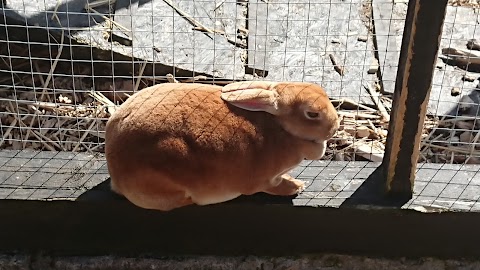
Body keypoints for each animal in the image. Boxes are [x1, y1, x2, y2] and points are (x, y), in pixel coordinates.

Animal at [105, 80, 338, 211]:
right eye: (312, 114)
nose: (335, 126)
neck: (278, 125)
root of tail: (114, 172)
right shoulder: (264, 180)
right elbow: (273, 186)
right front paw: (296, 186)